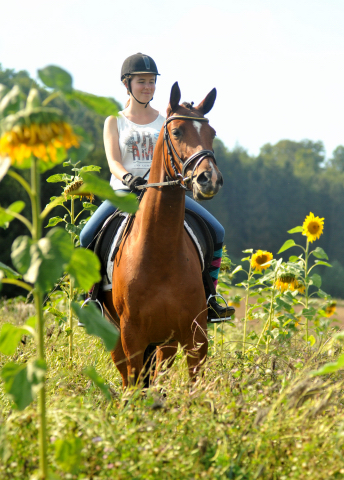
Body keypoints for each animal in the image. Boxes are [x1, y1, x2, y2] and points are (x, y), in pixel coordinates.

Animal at [104, 82, 223, 388]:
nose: (209, 179)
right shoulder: (132, 336)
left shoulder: (195, 336)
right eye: (177, 131)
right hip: (116, 337)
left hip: (164, 342)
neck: (160, 252)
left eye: (212, 134)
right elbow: (136, 386)